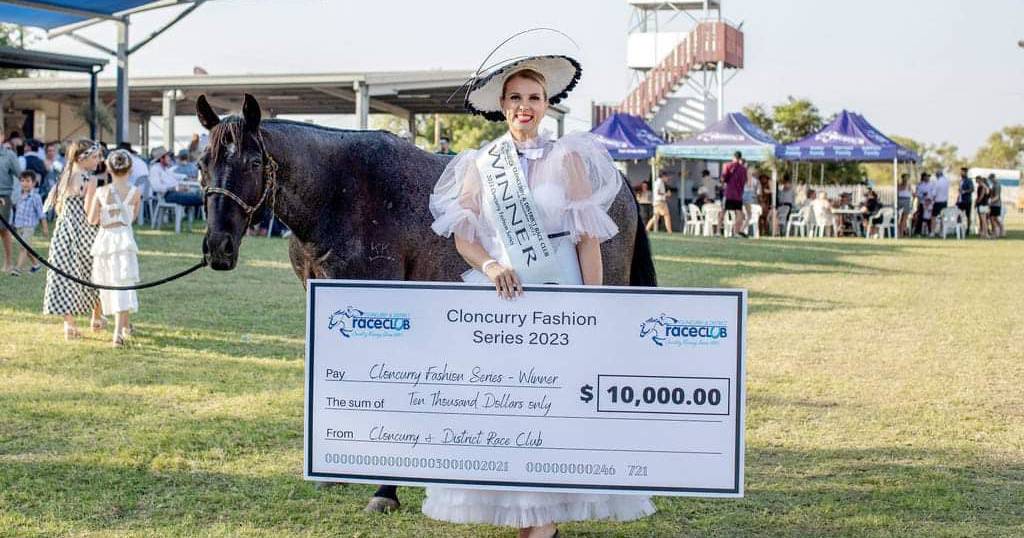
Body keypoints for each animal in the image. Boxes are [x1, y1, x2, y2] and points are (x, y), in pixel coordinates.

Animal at [194, 93, 655, 512]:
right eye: (202, 164)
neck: (340, 192)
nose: (218, 247)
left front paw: (385, 490)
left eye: (254, 163)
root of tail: (618, 183)